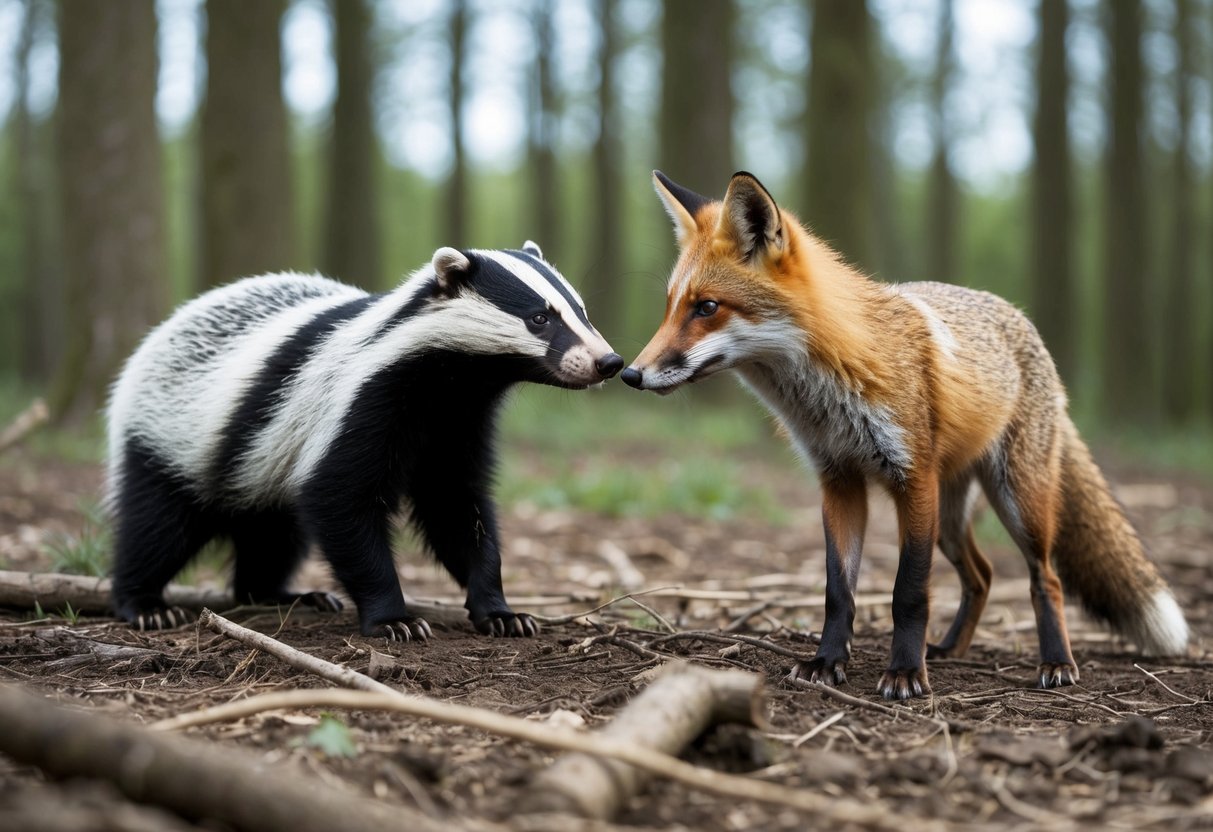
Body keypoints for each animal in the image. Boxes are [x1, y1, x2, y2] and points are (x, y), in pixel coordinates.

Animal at [622, 170, 1189, 699]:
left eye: (707, 307)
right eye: (671, 306)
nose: (630, 374)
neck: (831, 391)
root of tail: (1021, 319)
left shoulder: (911, 480)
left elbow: (908, 593)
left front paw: (904, 673)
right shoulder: (839, 481)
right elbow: (838, 592)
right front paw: (827, 663)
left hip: (1015, 501)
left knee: (1044, 577)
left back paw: (1055, 662)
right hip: (950, 518)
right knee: (982, 576)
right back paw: (951, 649)